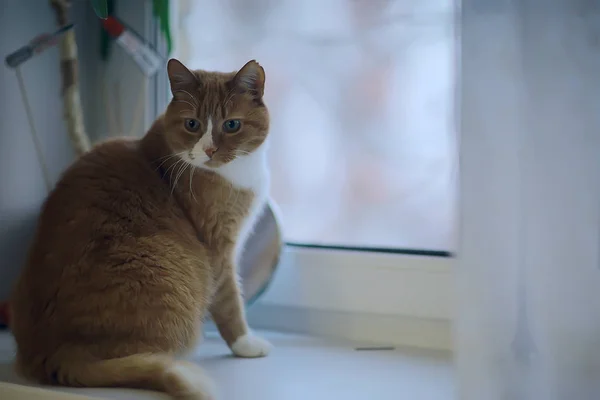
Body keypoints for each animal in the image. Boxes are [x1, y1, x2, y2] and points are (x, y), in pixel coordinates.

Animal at [9, 57, 272, 398]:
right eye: (192, 124)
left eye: (231, 125)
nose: (209, 150)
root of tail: (55, 354)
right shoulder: (219, 249)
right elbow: (230, 303)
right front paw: (245, 343)